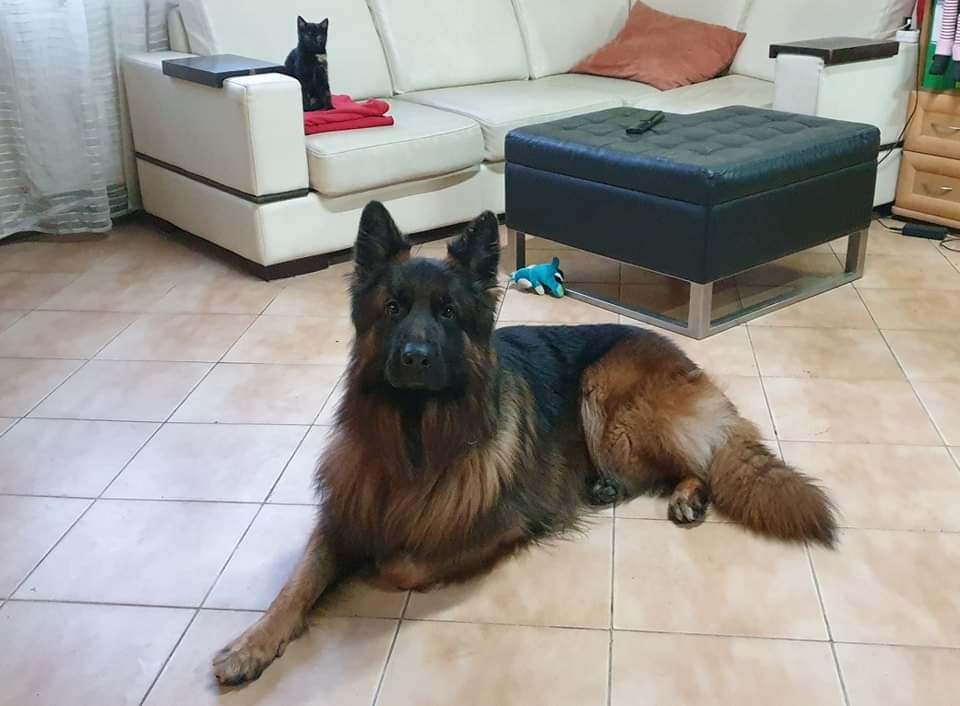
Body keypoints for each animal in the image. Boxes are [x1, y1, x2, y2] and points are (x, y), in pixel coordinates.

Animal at [212, 201, 837, 686]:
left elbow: (400, 566)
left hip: (606, 396)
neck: (416, 434)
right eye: (393, 309)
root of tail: (680, 355)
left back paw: (685, 494)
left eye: (448, 313)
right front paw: (251, 643)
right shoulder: (344, 514)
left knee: (700, 459)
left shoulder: (493, 527)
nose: (414, 359)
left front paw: (371, 568)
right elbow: (296, 585)